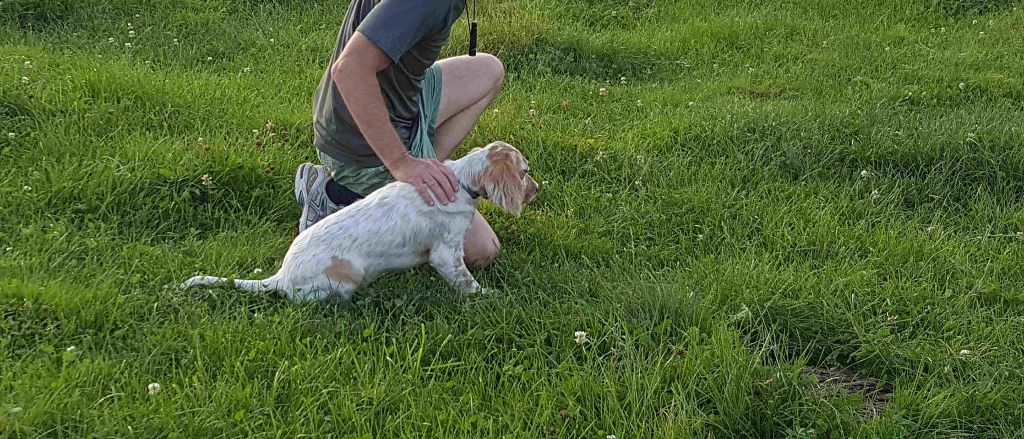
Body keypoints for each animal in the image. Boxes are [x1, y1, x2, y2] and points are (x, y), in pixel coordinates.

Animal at [180, 142, 540, 298]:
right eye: (525, 172)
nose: (536, 190)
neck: (462, 179)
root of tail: (281, 277)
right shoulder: (446, 254)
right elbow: (468, 283)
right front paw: (490, 297)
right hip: (346, 275)